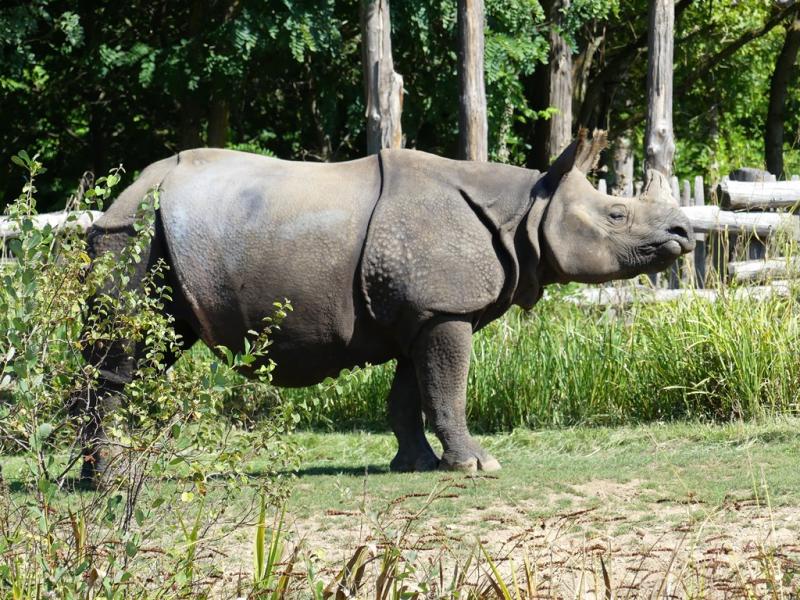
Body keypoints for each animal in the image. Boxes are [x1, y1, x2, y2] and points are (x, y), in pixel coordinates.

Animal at [78, 130, 694, 479]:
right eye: (617, 214)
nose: (684, 233)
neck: (525, 208)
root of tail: (122, 197)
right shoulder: (445, 309)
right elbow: (447, 389)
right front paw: (475, 466)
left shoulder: (420, 313)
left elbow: (411, 394)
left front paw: (415, 466)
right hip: (134, 235)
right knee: (130, 352)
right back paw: (115, 478)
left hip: (145, 232)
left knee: (149, 347)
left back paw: (88, 479)